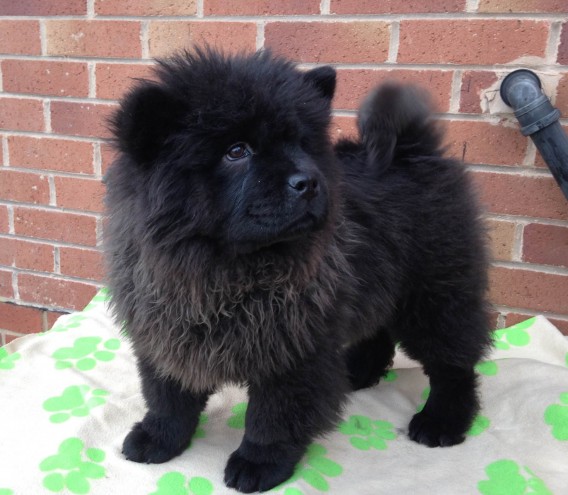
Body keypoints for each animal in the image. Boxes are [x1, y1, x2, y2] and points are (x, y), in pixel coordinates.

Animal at [105, 45, 492, 492]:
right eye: (236, 151)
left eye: (301, 144)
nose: (307, 181)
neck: (224, 270)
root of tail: (412, 148)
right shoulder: (164, 329)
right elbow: (167, 396)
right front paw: (157, 438)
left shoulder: (293, 348)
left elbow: (273, 415)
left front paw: (258, 464)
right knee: (376, 332)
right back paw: (356, 372)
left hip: (435, 293)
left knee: (453, 363)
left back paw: (441, 421)